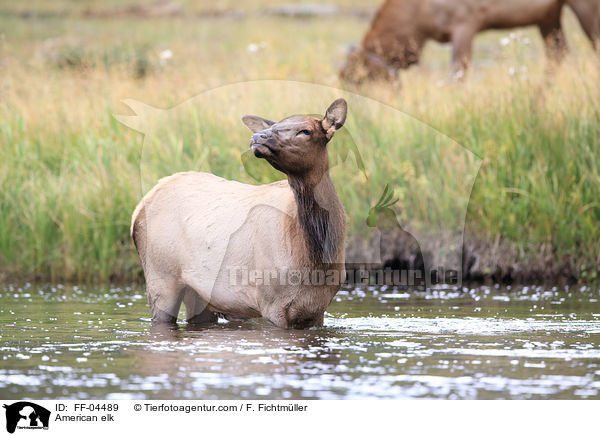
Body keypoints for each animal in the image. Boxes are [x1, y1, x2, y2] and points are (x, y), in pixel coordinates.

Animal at [129, 99, 350, 328]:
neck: (316, 259)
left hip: (197, 293)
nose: (259, 136)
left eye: (305, 130)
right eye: (275, 125)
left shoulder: (317, 309)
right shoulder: (272, 302)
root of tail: (137, 212)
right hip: (160, 277)